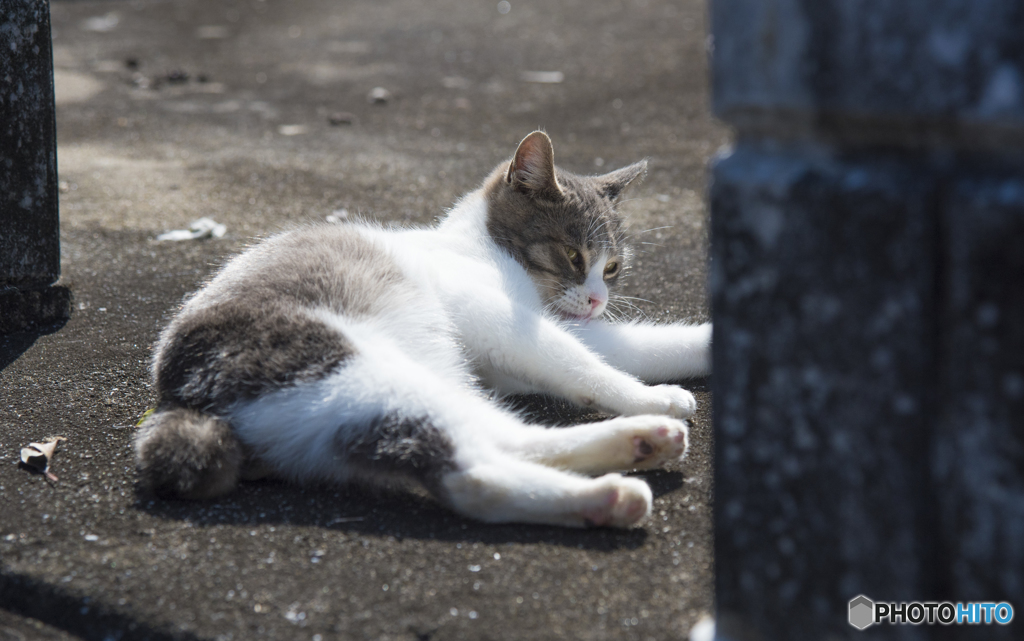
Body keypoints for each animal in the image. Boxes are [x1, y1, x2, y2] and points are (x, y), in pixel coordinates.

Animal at [136, 132, 712, 528]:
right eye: (574, 256)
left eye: (612, 268)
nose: (597, 300)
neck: (480, 248)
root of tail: (180, 402)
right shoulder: (505, 322)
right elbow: (579, 362)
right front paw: (652, 396)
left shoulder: (536, 337)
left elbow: (637, 344)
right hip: (352, 372)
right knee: (475, 476)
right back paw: (614, 490)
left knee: (504, 438)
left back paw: (640, 445)